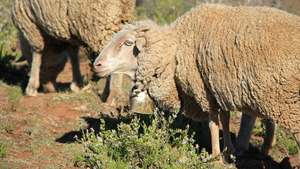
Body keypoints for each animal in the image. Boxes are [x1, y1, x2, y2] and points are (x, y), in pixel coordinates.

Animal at [93, 3, 298, 164]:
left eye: (128, 43)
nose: (97, 65)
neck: (174, 49)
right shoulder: (216, 88)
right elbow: (224, 119)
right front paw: (228, 152)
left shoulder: (204, 89)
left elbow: (214, 122)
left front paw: (215, 155)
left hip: (290, 104)